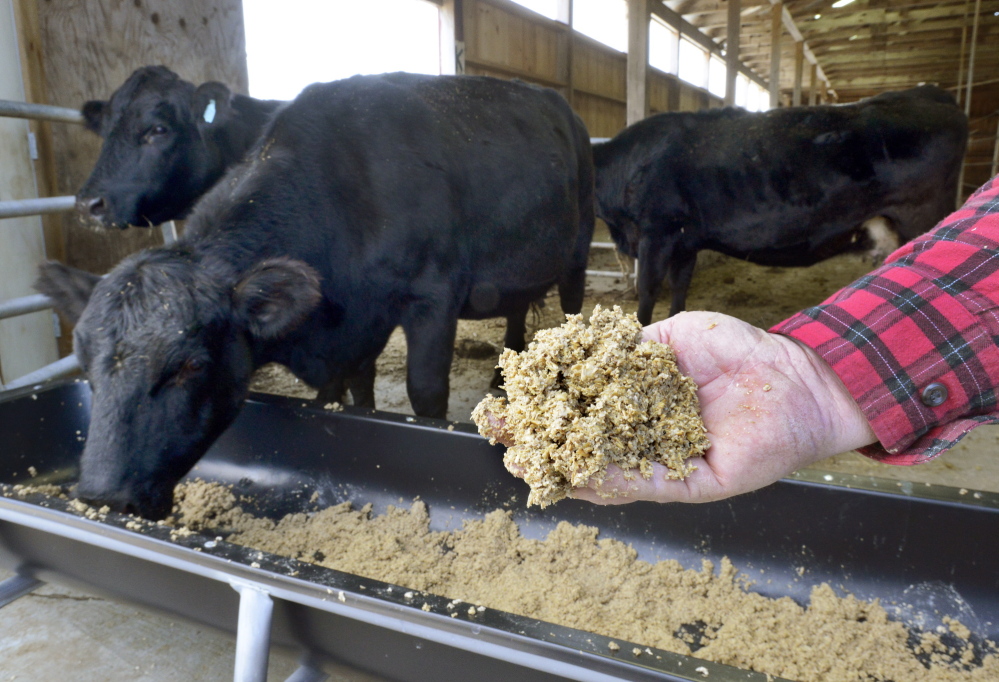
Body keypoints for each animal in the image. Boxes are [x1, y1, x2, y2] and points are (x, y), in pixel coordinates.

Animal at [592, 85, 968, 325]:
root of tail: (929, 92)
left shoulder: (656, 231)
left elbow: (647, 291)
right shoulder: (685, 241)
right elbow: (680, 287)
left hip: (921, 215)